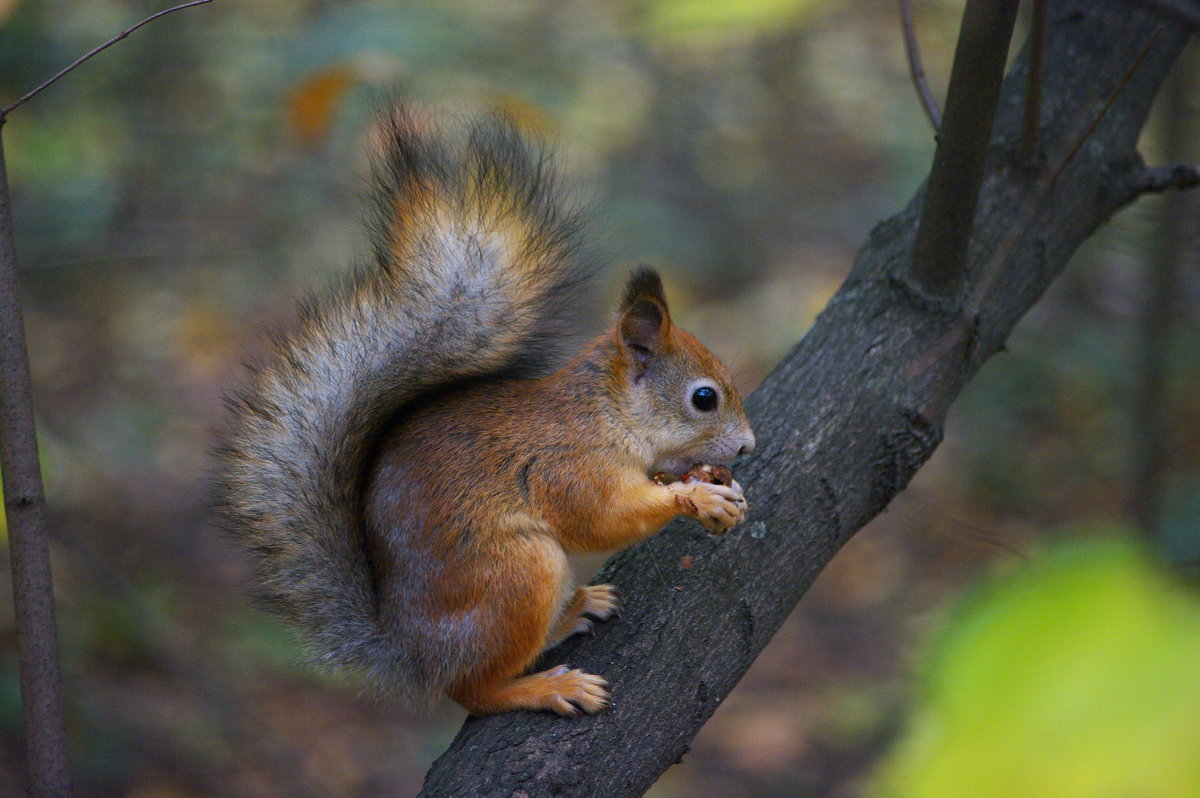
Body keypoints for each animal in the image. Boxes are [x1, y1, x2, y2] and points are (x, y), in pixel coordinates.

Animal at [212, 109, 753, 710]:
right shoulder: (566, 467)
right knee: (473, 690)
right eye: (703, 398)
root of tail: (410, 653)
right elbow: (601, 519)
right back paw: (544, 686)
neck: (606, 416)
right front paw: (696, 496)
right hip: (517, 572)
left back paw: (576, 609)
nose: (747, 446)